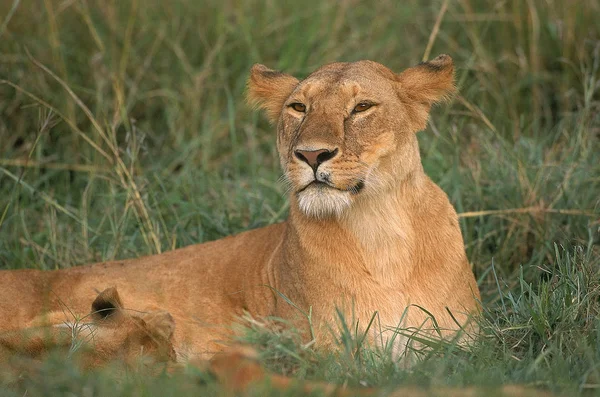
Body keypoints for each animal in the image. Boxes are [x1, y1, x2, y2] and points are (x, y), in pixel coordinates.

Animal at [0, 54, 480, 366]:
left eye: (361, 107)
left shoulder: (465, 346)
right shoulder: (326, 351)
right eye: (298, 107)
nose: (311, 155)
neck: (379, 231)